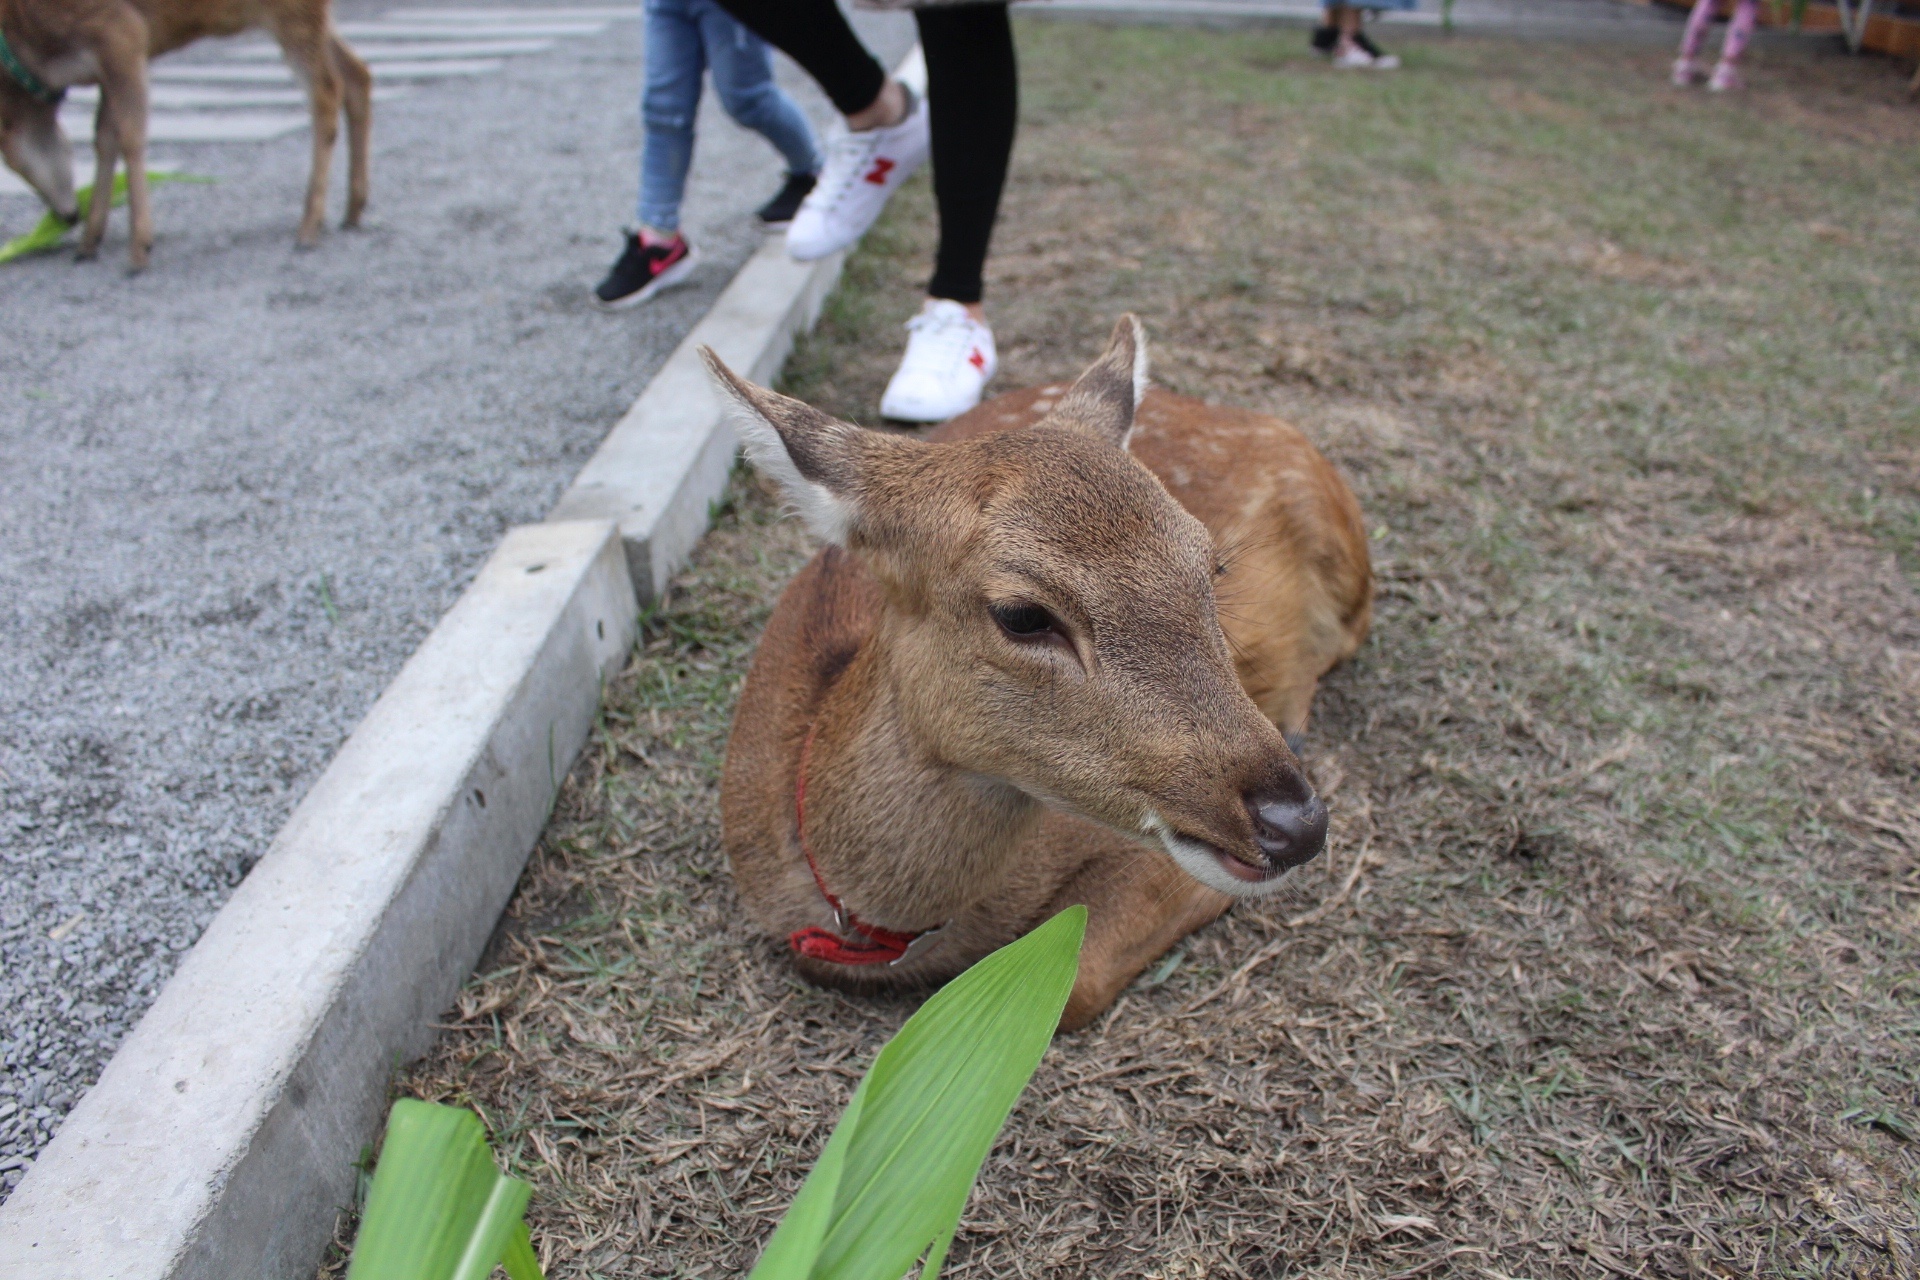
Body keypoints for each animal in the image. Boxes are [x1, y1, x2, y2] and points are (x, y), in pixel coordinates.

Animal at [0, 0, 366, 268]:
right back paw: (352, 210)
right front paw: (89, 243)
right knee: (357, 72)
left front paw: (139, 250)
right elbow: (104, 136)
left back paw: (309, 226)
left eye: (11, 158)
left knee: (328, 91)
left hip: (295, 13)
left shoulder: (122, 33)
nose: (65, 215)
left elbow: (131, 134)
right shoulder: (107, 64)